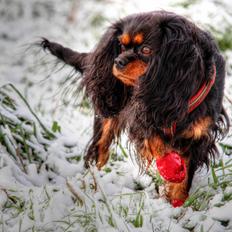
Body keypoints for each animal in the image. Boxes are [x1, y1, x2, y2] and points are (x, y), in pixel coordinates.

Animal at [40, 10, 229, 207]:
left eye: (146, 50)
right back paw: (94, 182)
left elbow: (184, 178)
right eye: (122, 46)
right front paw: (171, 169)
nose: (118, 61)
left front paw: (176, 204)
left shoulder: (198, 137)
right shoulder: (143, 120)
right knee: (99, 149)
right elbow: (158, 143)